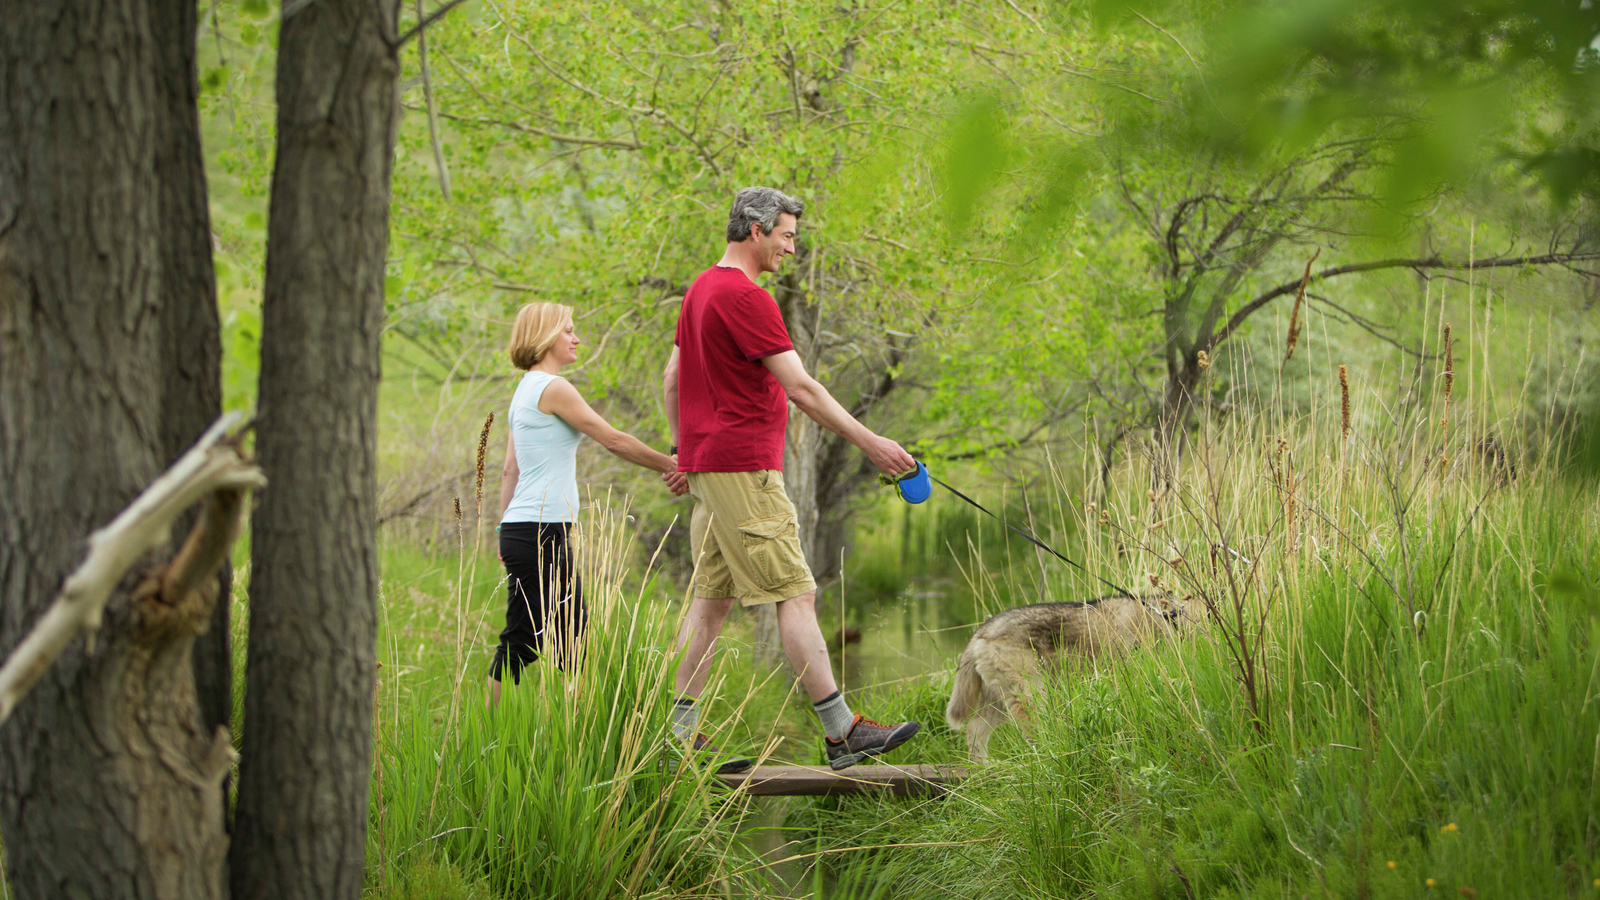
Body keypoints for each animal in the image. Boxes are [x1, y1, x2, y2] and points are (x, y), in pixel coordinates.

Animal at [940, 592, 1196, 759]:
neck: (1162, 617)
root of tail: (980, 633)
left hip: (1001, 703)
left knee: (975, 729)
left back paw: (986, 769)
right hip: (1031, 697)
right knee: (1030, 735)